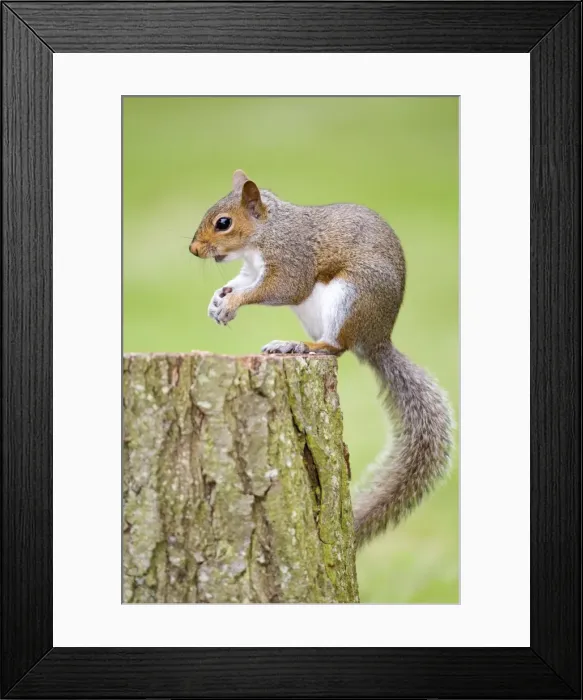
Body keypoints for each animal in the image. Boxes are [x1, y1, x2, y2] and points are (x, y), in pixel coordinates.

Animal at [189, 169, 453, 549]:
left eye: (223, 223)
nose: (193, 249)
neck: (267, 232)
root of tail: (376, 341)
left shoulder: (292, 260)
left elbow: (277, 288)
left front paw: (232, 303)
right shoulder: (251, 270)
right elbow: (241, 281)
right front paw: (218, 299)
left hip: (350, 297)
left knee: (335, 347)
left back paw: (297, 346)